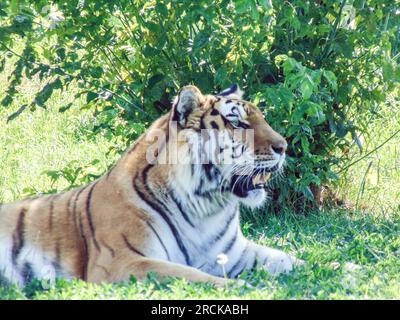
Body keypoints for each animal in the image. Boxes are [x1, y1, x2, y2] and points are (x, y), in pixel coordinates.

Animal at [0, 85, 300, 288]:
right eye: (237, 121)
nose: (284, 147)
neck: (207, 207)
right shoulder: (122, 262)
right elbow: (190, 275)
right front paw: (241, 288)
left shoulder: (234, 253)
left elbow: (288, 260)